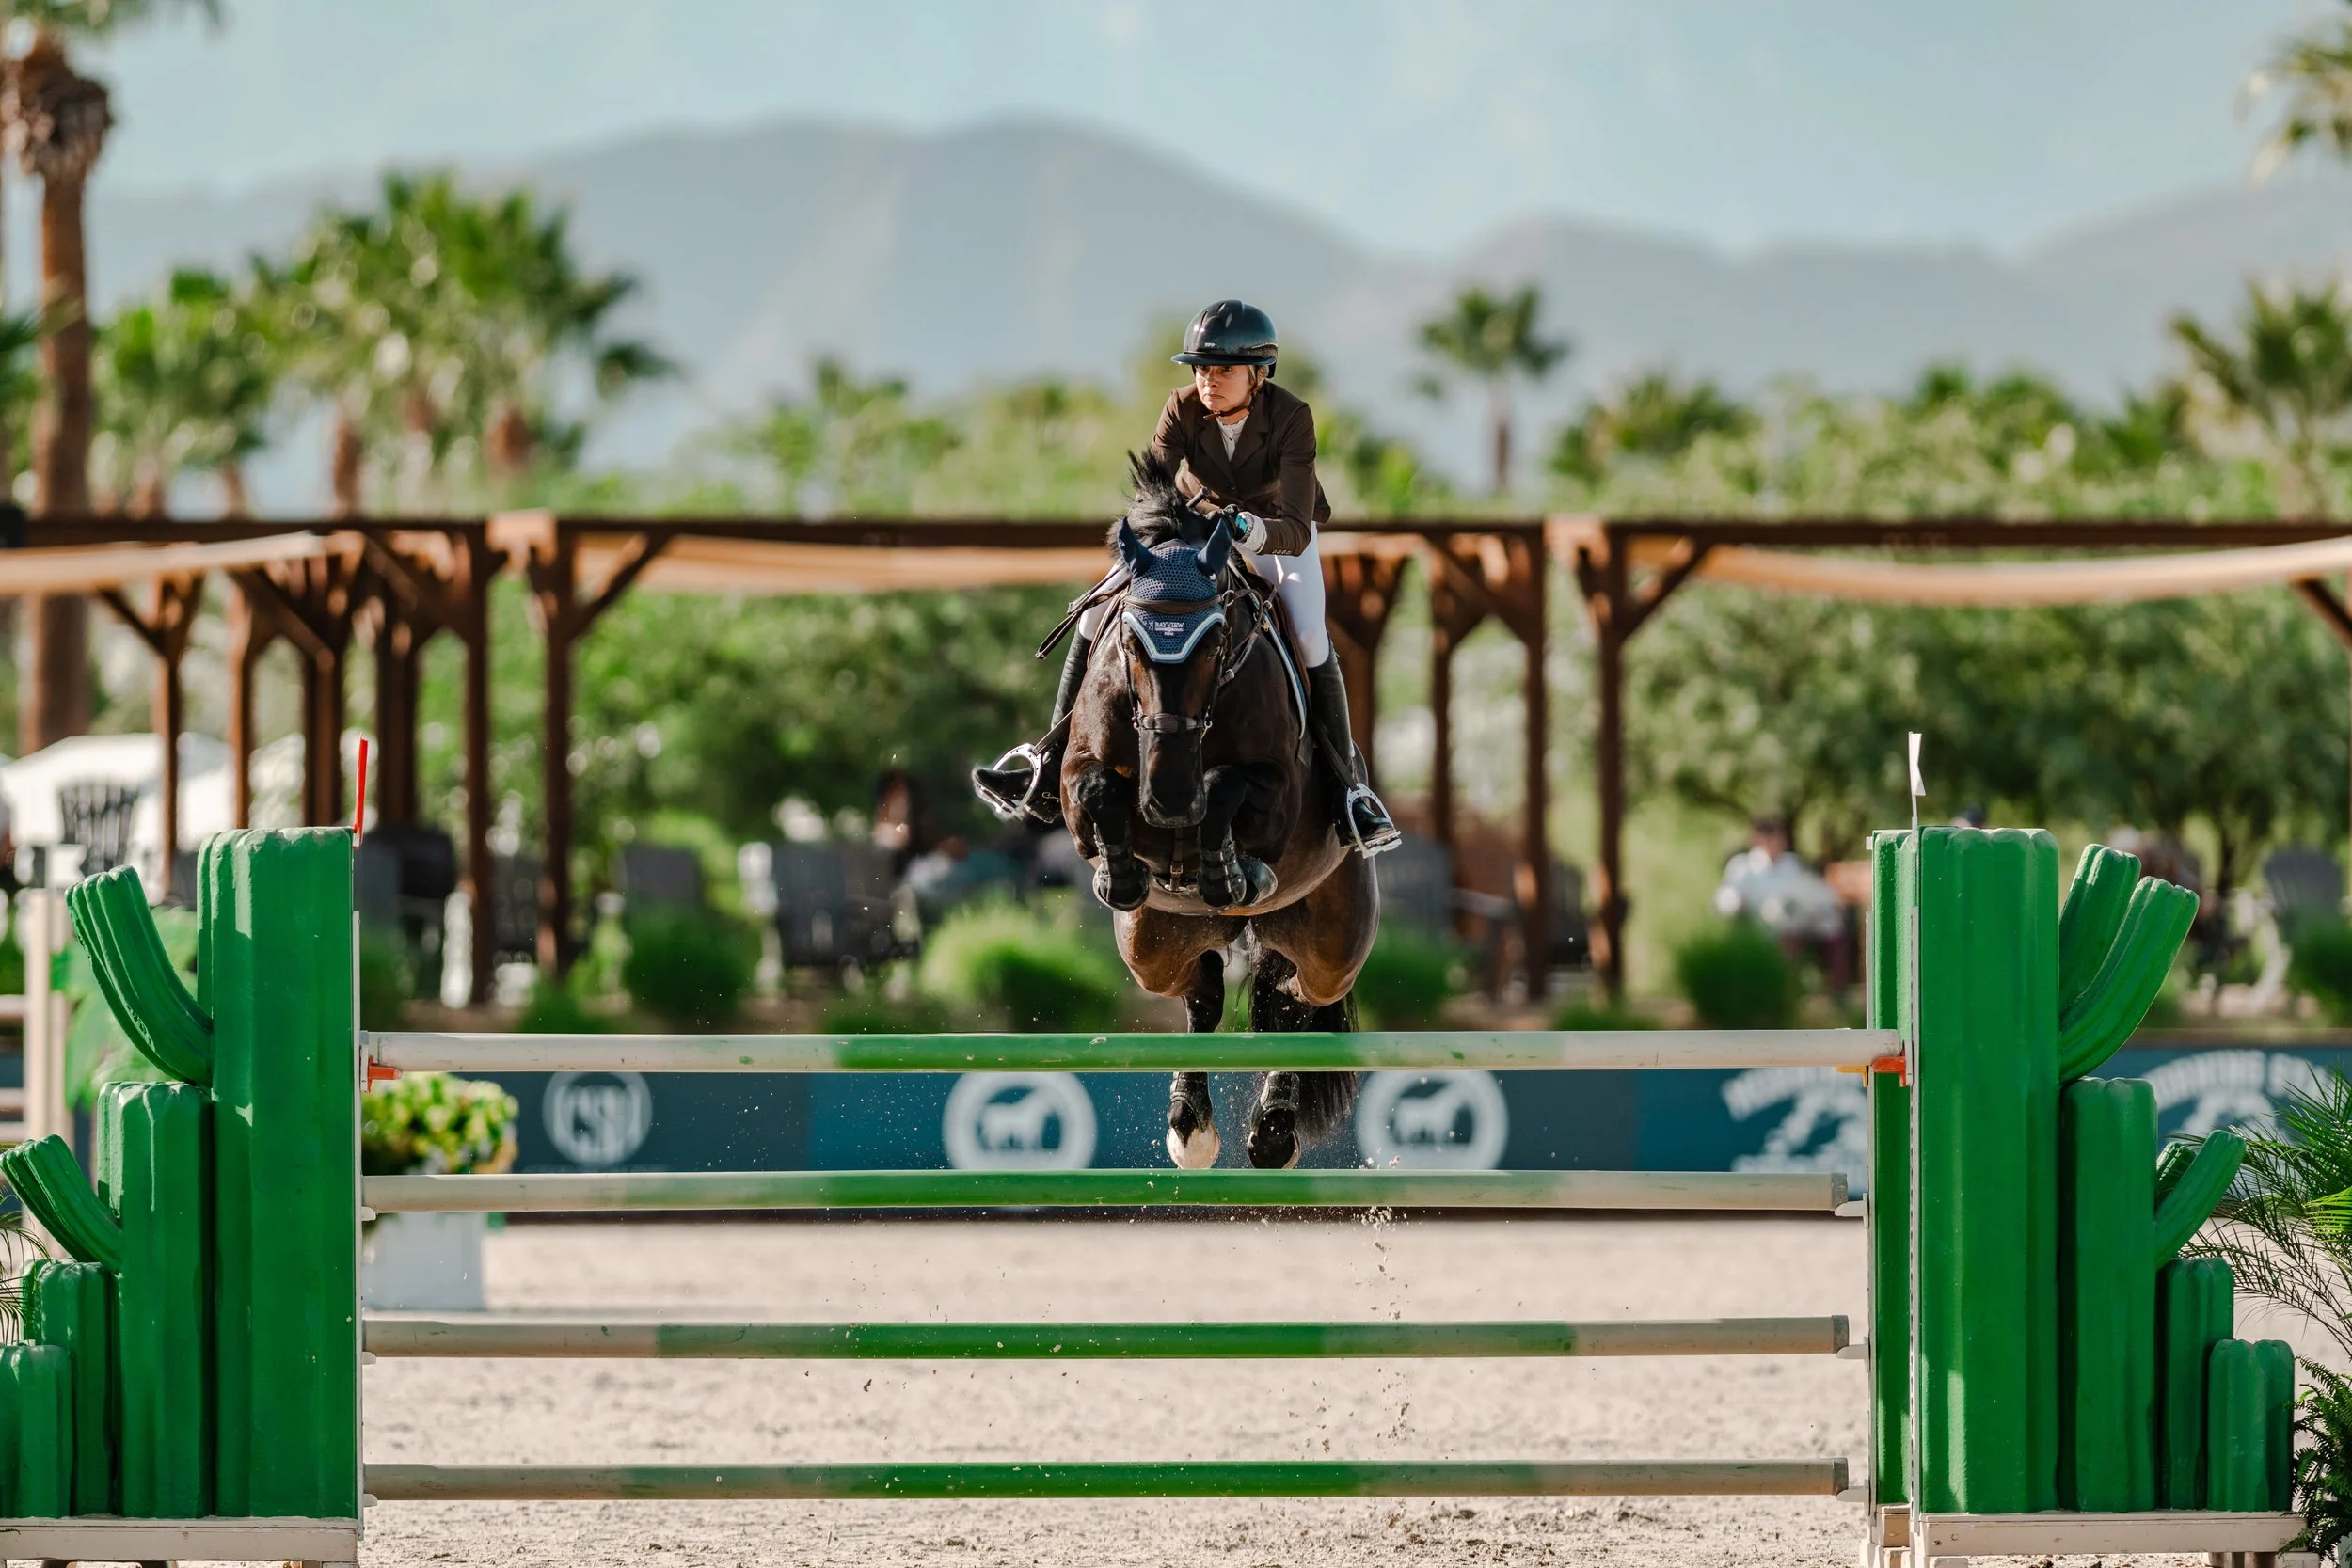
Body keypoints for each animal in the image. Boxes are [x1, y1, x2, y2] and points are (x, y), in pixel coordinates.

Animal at [1059, 457, 1379, 1170]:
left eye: (1215, 640)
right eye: (1130, 641)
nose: (1168, 796)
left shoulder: (1276, 795)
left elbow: (1228, 789)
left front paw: (1228, 870)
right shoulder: (1078, 782)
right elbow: (1093, 792)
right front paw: (1124, 872)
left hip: (1335, 940)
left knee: (1290, 998)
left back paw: (1273, 1132)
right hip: (1151, 944)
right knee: (1202, 991)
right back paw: (1192, 1128)